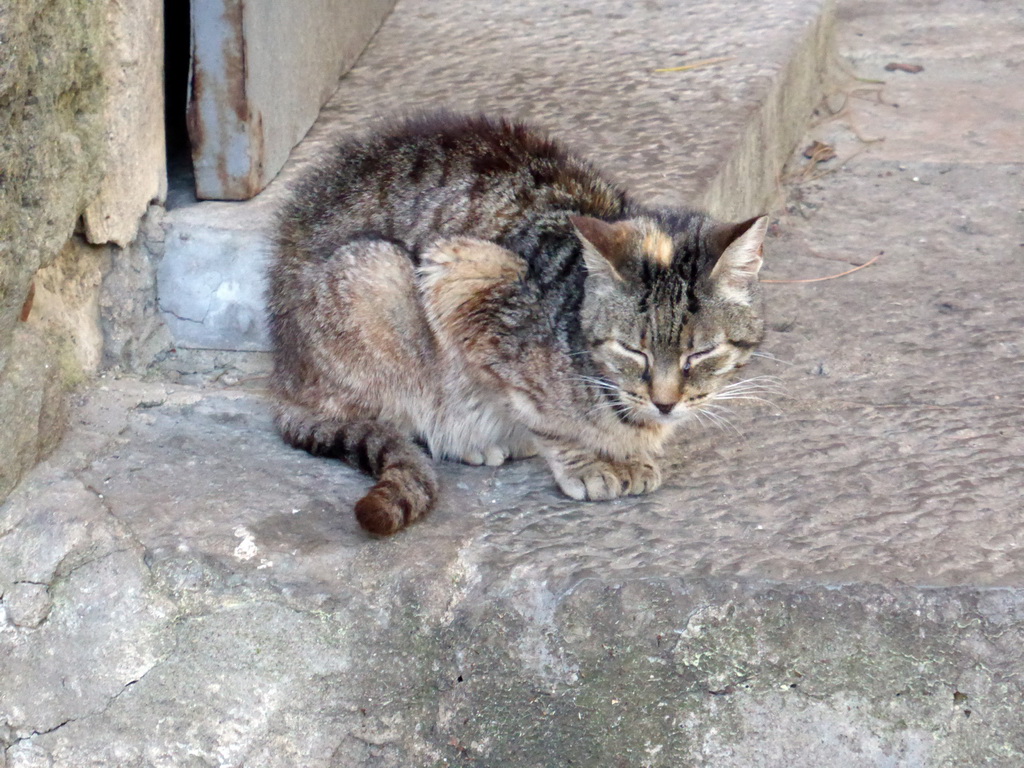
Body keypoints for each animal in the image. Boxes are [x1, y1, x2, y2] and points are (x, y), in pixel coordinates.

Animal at [268, 112, 765, 536]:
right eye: (632, 351)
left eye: (701, 353)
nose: (665, 403)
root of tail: (284, 378)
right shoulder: (462, 277)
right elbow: (538, 413)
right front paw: (589, 462)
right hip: (378, 274)